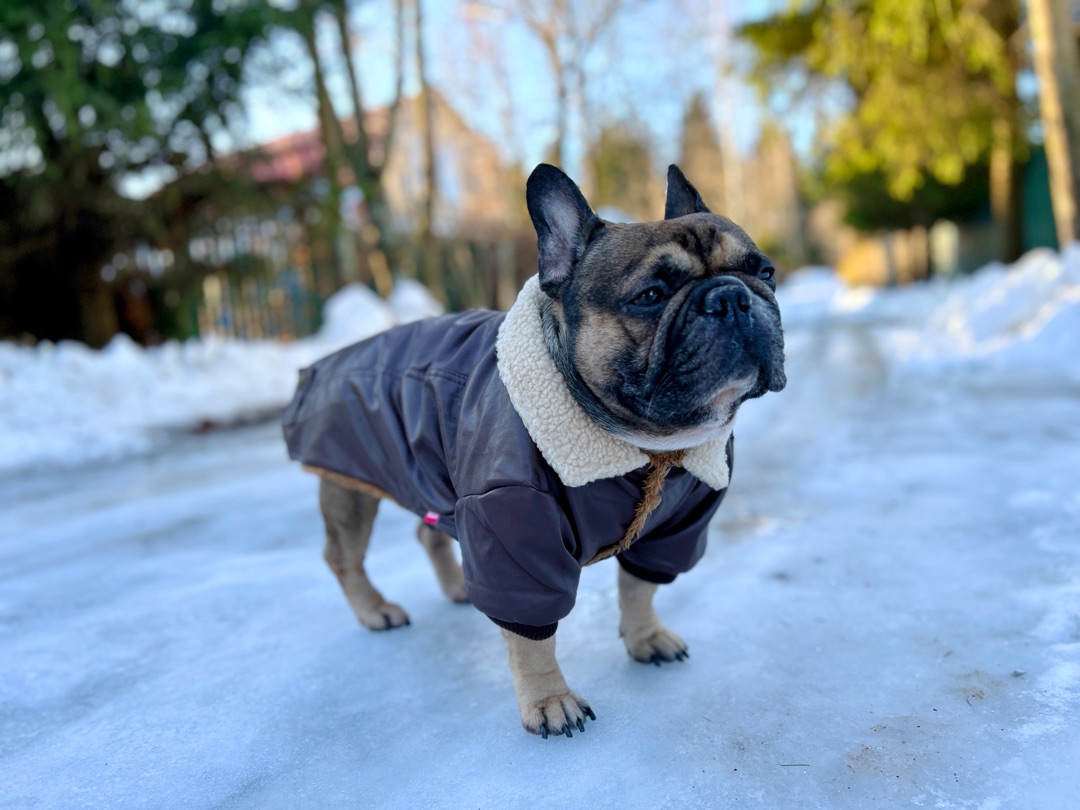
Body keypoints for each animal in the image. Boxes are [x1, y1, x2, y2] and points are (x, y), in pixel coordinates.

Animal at [278, 165, 786, 743]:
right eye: (651, 295)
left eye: (765, 272)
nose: (731, 297)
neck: (646, 445)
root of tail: (324, 363)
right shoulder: (511, 528)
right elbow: (530, 634)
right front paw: (550, 700)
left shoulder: (677, 526)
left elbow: (640, 587)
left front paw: (645, 637)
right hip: (349, 486)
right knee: (343, 555)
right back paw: (374, 611)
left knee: (428, 531)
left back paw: (455, 587)